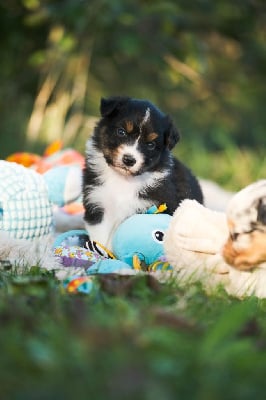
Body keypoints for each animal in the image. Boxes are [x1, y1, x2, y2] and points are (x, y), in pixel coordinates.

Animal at [83, 96, 204, 247]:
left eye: (150, 145)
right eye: (121, 132)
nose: (129, 160)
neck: (123, 180)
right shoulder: (97, 201)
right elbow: (100, 236)